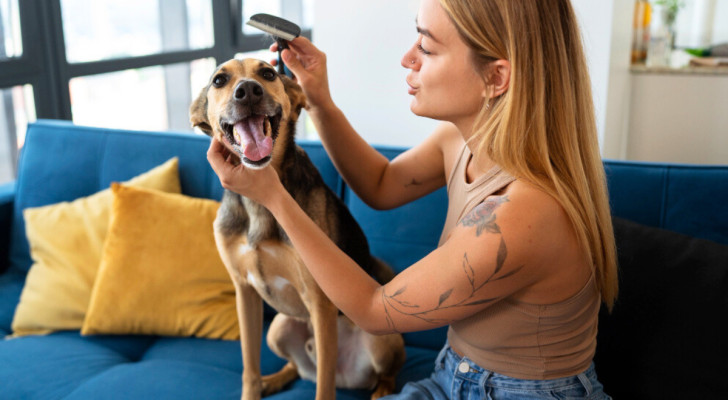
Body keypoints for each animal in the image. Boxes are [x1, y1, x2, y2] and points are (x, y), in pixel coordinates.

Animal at [189, 57, 404, 400]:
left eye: (268, 73)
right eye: (219, 80)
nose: (248, 91)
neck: (259, 206)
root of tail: (348, 378)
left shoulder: (320, 302)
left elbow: (323, 388)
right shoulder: (244, 292)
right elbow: (249, 369)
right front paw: (255, 387)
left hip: (380, 338)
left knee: (379, 373)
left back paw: (382, 391)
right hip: (278, 328)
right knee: (297, 367)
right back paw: (275, 379)